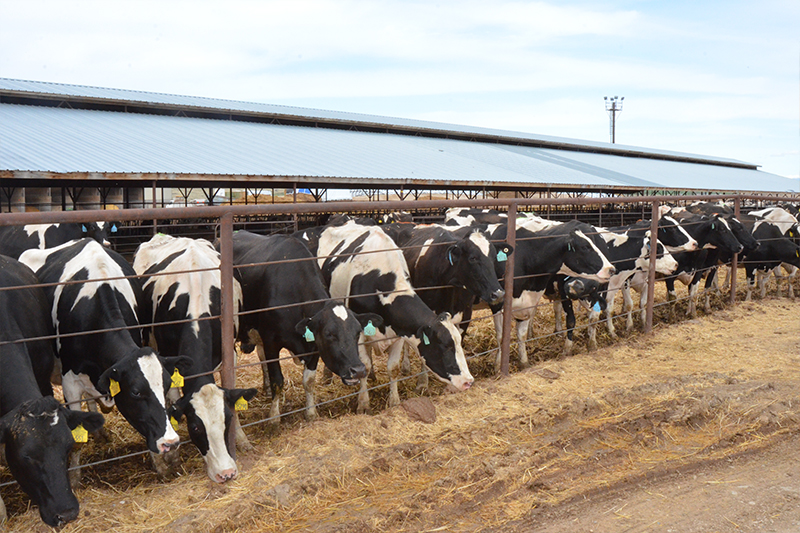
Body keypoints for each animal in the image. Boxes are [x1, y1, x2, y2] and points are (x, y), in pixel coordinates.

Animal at [18, 237, 191, 478]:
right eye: (136, 392)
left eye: (166, 386)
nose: (171, 442)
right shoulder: (70, 382)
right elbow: (76, 438)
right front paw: (74, 477)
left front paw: (160, 464)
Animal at [131, 235, 256, 484]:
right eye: (196, 428)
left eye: (227, 419)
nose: (226, 473)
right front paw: (173, 456)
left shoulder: (230, 352)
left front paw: (242, 440)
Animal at [228, 231, 378, 422]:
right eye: (329, 334)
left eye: (358, 332)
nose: (358, 370)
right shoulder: (271, 342)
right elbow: (278, 380)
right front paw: (274, 417)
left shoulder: (313, 346)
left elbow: (309, 381)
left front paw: (311, 413)